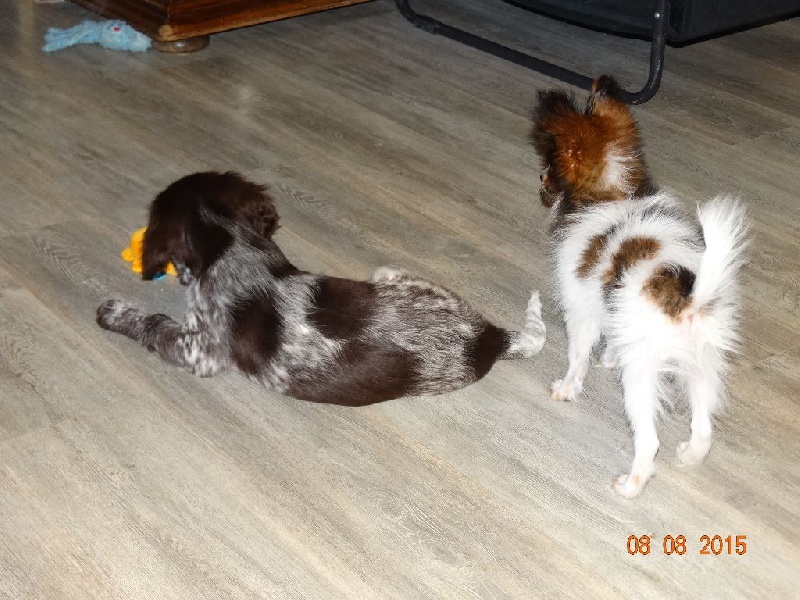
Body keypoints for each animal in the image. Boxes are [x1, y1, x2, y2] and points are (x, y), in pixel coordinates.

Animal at [97, 171, 546, 406]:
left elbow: (156, 324)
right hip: (394, 276)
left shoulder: (201, 351)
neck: (226, 241)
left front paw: (114, 313)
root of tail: (490, 336)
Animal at [531, 76, 749, 497]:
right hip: (704, 363)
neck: (612, 195)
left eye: (548, 168)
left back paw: (631, 485)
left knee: (649, 441)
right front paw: (610, 356)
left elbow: (578, 357)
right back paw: (691, 455)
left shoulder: (581, 311)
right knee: (704, 427)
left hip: (642, 377)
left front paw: (566, 388)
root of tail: (687, 301)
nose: (539, 183)